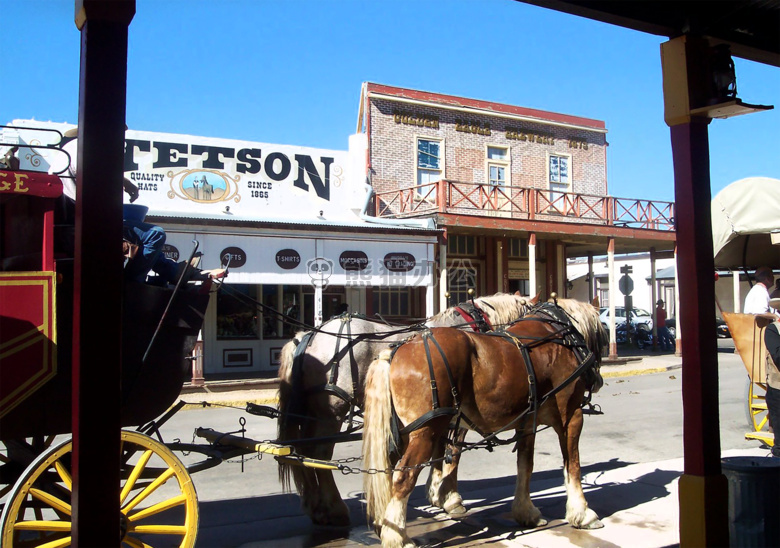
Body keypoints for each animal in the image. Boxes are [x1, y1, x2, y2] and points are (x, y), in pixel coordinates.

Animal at [362, 300, 608, 548]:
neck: (559, 336)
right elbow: (573, 465)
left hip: (403, 432)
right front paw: (583, 514)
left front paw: (526, 512)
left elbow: (525, 465)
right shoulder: (571, 416)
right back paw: (398, 537)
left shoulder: (527, 423)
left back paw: (385, 526)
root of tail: (394, 352)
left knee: (386, 471)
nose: (597, 380)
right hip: (426, 431)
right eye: (603, 337)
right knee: (403, 477)